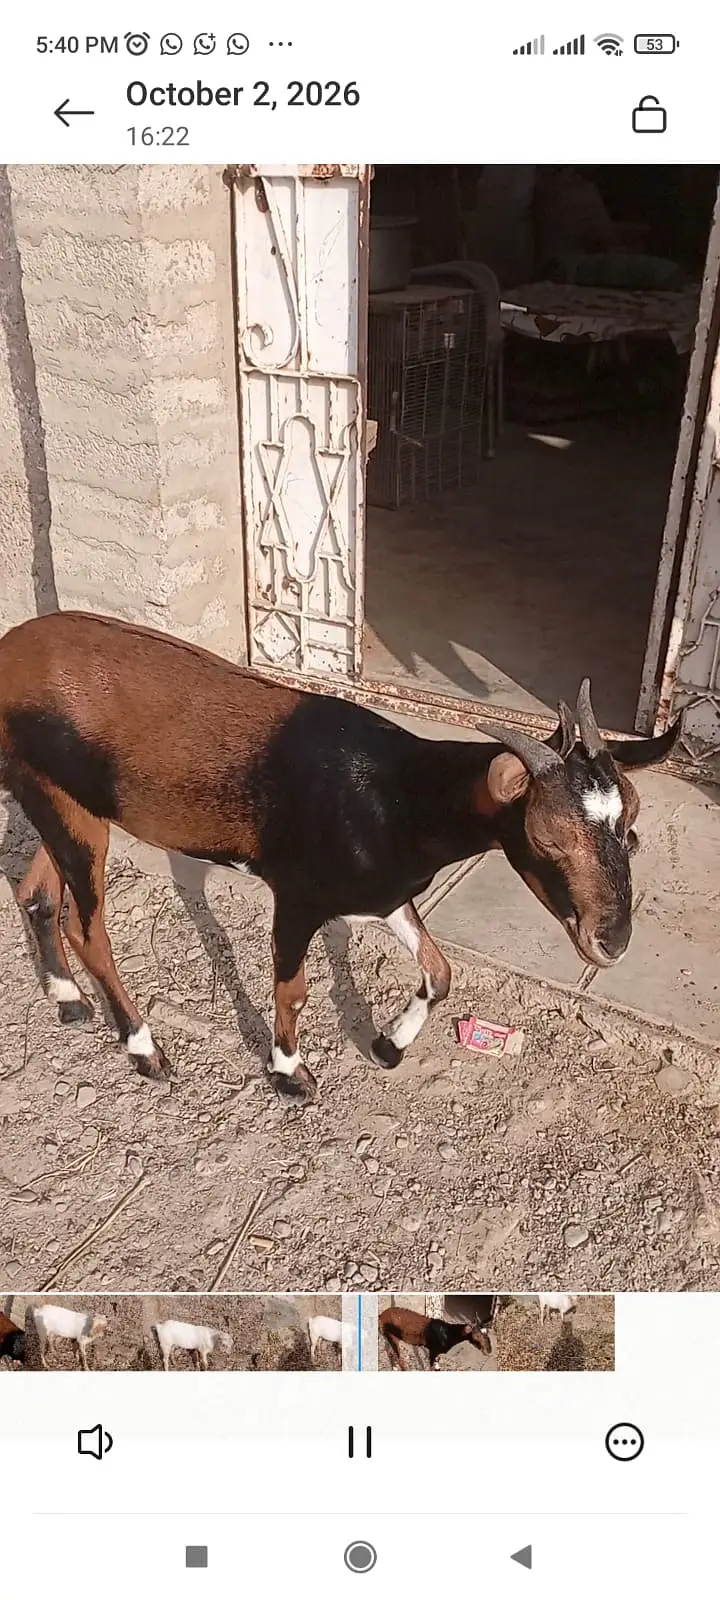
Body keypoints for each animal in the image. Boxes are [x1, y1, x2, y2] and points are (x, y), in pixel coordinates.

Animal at [0, 611, 679, 1103]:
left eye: (630, 824)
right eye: (547, 838)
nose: (611, 941)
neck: (397, 795)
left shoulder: (384, 894)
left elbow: (440, 971)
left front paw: (387, 1046)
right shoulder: (297, 896)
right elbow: (294, 988)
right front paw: (289, 1074)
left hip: (58, 802)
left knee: (37, 892)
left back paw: (68, 998)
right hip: (68, 811)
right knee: (87, 928)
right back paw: (145, 1051)